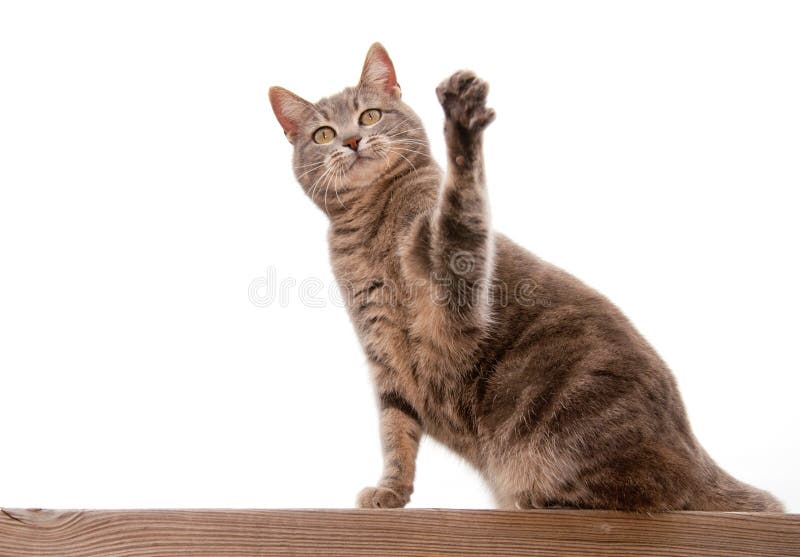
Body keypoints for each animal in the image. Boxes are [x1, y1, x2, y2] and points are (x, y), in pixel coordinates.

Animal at [268, 44, 780, 512]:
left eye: (370, 115)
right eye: (323, 133)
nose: (352, 142)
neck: (371, 223)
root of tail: (698, 458)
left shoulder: (454, 281)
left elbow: (460, 204)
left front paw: (462, 129)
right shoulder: (382, 349)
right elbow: (396, 427)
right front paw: (390, 492)